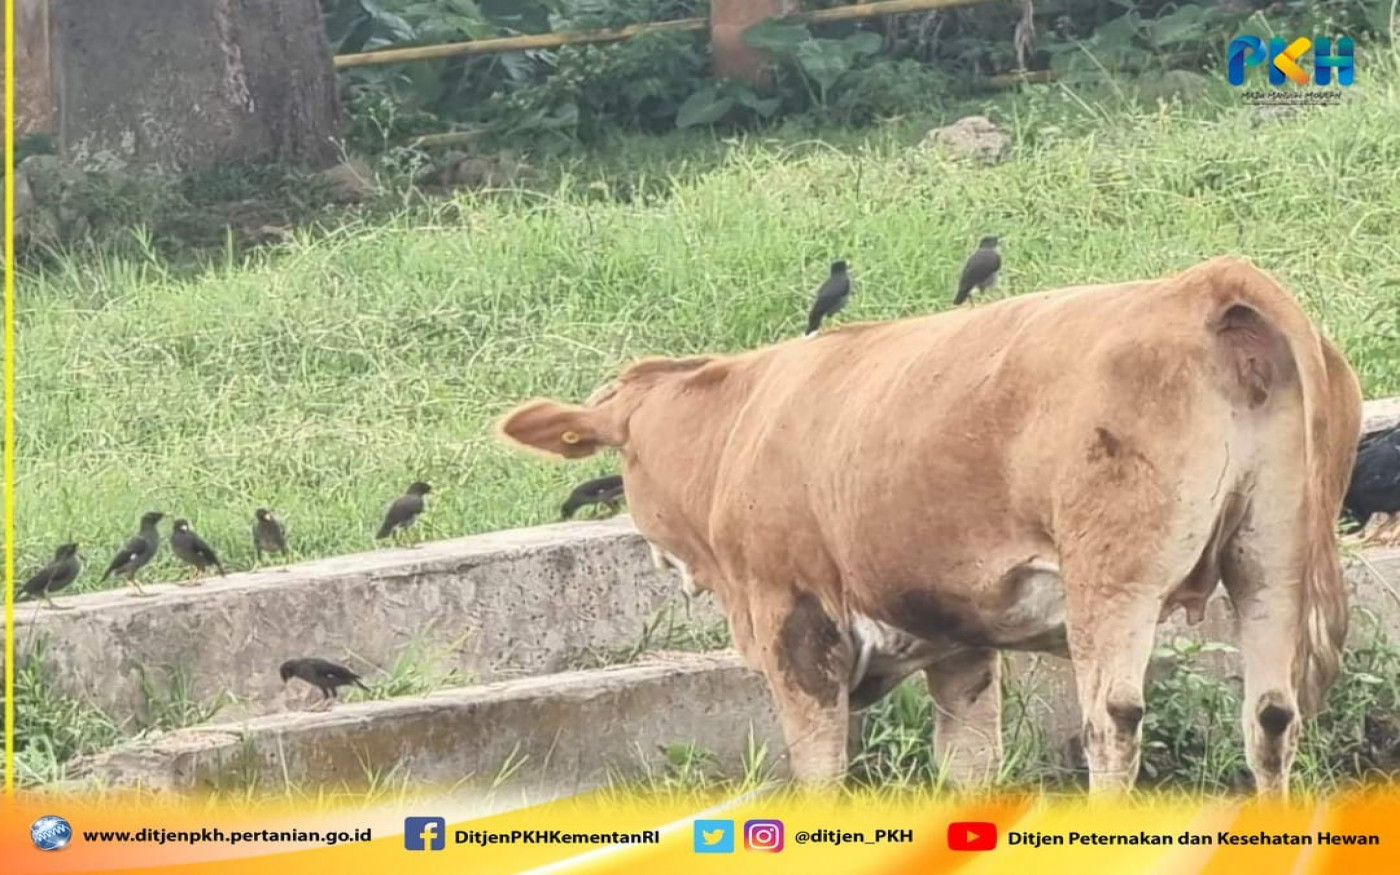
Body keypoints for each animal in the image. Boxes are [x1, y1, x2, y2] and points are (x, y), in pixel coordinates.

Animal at [496, 256, 1363, 798]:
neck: (738, 424)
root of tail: (1206, 284)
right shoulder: (960, 639)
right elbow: (968, 771)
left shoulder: (794, 621)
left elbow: (820, 773)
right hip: (1272, 557)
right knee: (1271, 716)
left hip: (1112, 576)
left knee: (1113, 721)